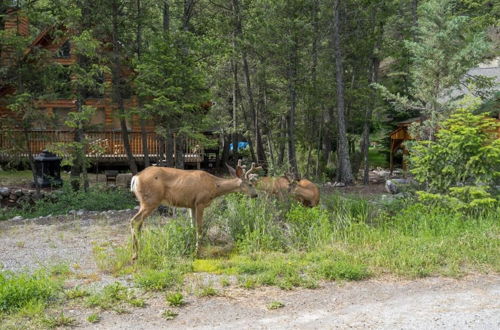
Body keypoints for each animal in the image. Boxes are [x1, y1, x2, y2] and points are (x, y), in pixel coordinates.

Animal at [129, 160, 262, 260]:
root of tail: (136, 178)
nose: (256, 195)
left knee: (138, 223)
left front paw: (191, 248)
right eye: (250, 184)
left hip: (144, 201)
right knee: (135, 221)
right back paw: (135, 255)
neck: (214, 186)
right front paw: (198, 252)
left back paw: (137, 251)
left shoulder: (191, 205)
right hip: (151, 200)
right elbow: (199, 228)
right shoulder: (200, 202)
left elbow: (192, 227)